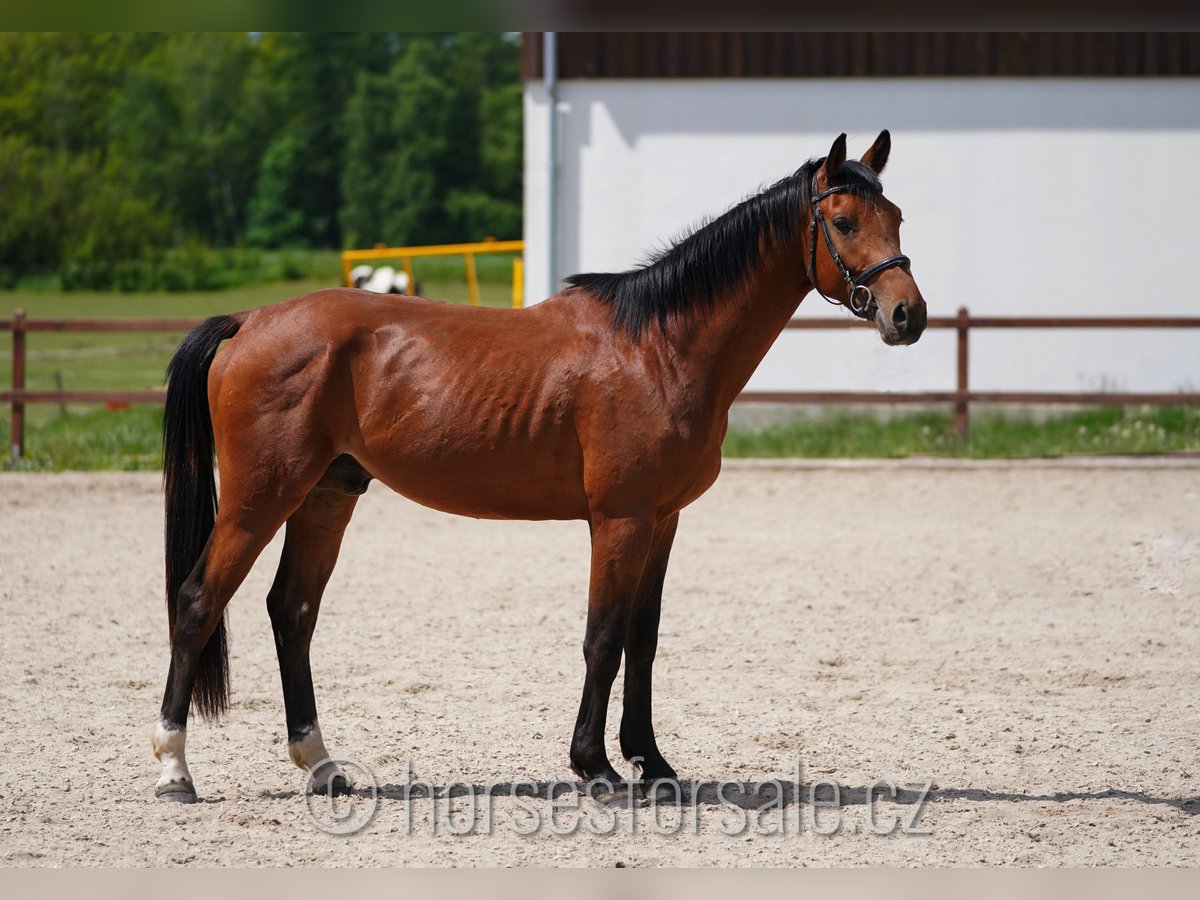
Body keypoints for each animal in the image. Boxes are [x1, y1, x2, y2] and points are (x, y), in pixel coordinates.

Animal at [152, 131, 927, 803]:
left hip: (326, 495)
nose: (907, 315)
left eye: (895, 215)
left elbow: (643, 639)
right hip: (260, 495)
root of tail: (250, 320)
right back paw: (174, 771)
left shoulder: (663, 520)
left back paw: (322, 765)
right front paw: (597, 767)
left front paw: (653, 763)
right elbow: (603, 637)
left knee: (292, 611)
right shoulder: (619, 519)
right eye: (845, 221)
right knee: (197, 602)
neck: (659, 346)